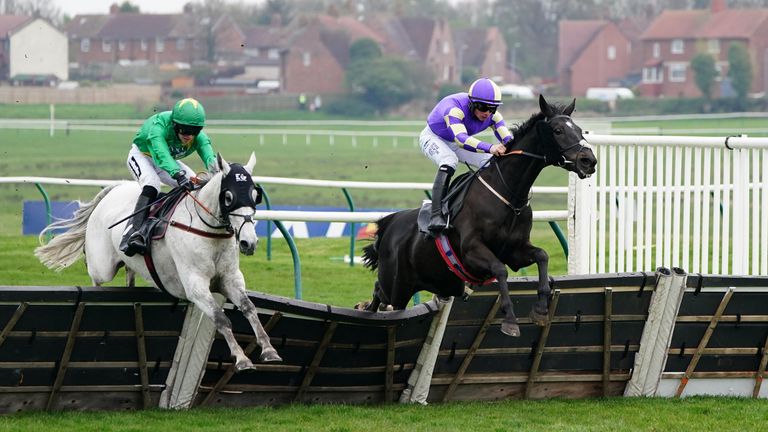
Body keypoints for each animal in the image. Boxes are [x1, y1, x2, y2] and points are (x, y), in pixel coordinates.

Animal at [36, 153, 282, 372]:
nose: (249, 242)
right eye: (229, 197)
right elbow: (221, 319)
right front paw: (241, 359)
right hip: (102, 267)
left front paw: (269, 350)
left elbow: (249, 308)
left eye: (255, 195)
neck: (209, 231)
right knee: (97, 278)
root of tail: (114, 190)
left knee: (129, 274)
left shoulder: (230, 279)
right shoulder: (195, 286)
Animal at [364, 94, 596, 338]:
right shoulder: (471, 250)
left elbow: (542, 256)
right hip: (396, 286)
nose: (589, 161)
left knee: (379, 294)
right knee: (381, 295)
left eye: (579, 130)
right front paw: (510, 319)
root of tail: (389, 225)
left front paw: (541, 308)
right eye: (558, 130)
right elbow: (500, 270)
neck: (508, 195)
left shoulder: (514, 250)